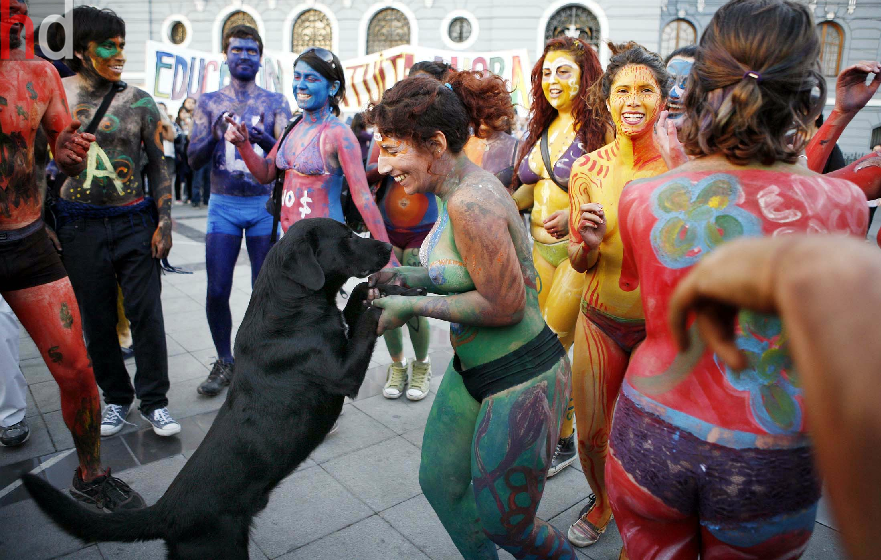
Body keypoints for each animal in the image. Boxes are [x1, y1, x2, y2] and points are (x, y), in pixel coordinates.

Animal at [22, 218, 394, 556]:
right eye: (348, 237)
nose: (390, 247)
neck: (292, 304)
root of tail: (166, 512)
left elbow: (353, 307)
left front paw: (367, 290)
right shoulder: (344, 373)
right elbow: (364, 325)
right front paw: (386, 300)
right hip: (219, 546)